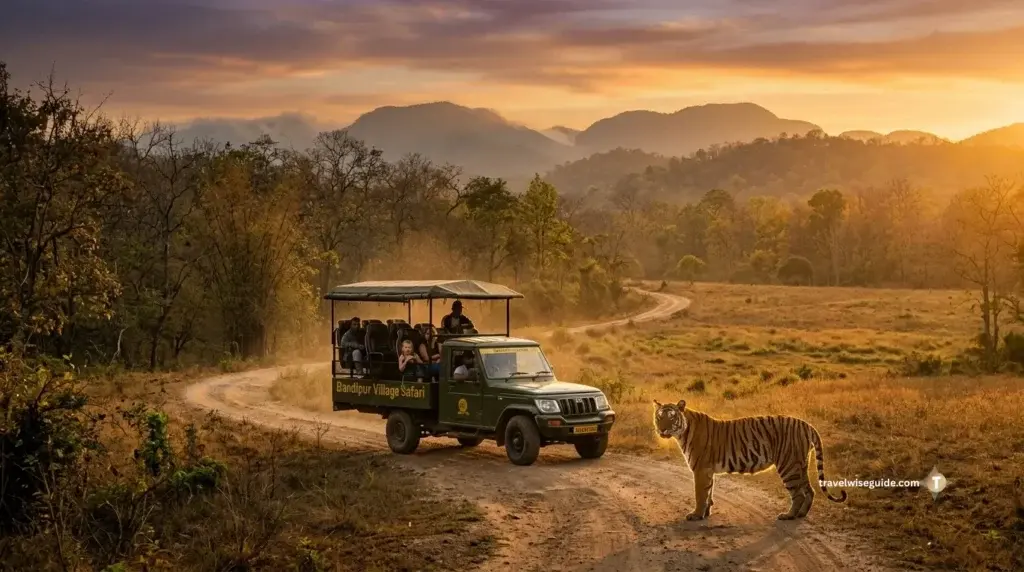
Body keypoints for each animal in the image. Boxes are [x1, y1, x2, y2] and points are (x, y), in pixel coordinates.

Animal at [653, 399, 847, 521]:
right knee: (810, 490)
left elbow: (700, 494)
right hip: (800, 464)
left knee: (799, 494)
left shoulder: (701, 469)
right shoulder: (707, 471)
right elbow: (708, 493)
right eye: (659, 417)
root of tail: (806, 424)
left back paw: (788, 516)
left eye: (671, 417)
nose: (661, 429)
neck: (682, 432)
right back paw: (801, 514)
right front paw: (705, 513)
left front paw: (696, 515)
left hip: (789, 465)